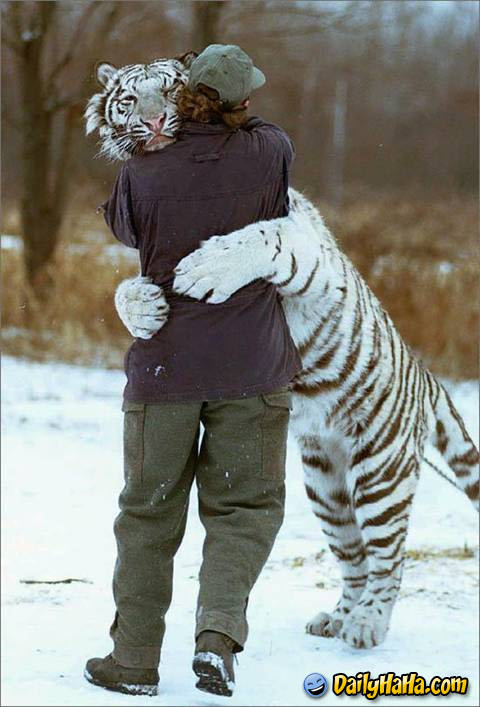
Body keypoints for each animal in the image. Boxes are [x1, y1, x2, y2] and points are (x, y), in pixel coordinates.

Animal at [84, 58, 478, 648]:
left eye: (171, 89)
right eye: (129, 99)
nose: (152, 123)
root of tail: (430, 381)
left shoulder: (306, 251)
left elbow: (264, 237)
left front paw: (206, 268)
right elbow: (122, 288)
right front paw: (144, 308)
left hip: (379, 474)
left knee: (388, 559)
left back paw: (367, 625)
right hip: (325, 482)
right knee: (355, 557)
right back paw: (337, 616)